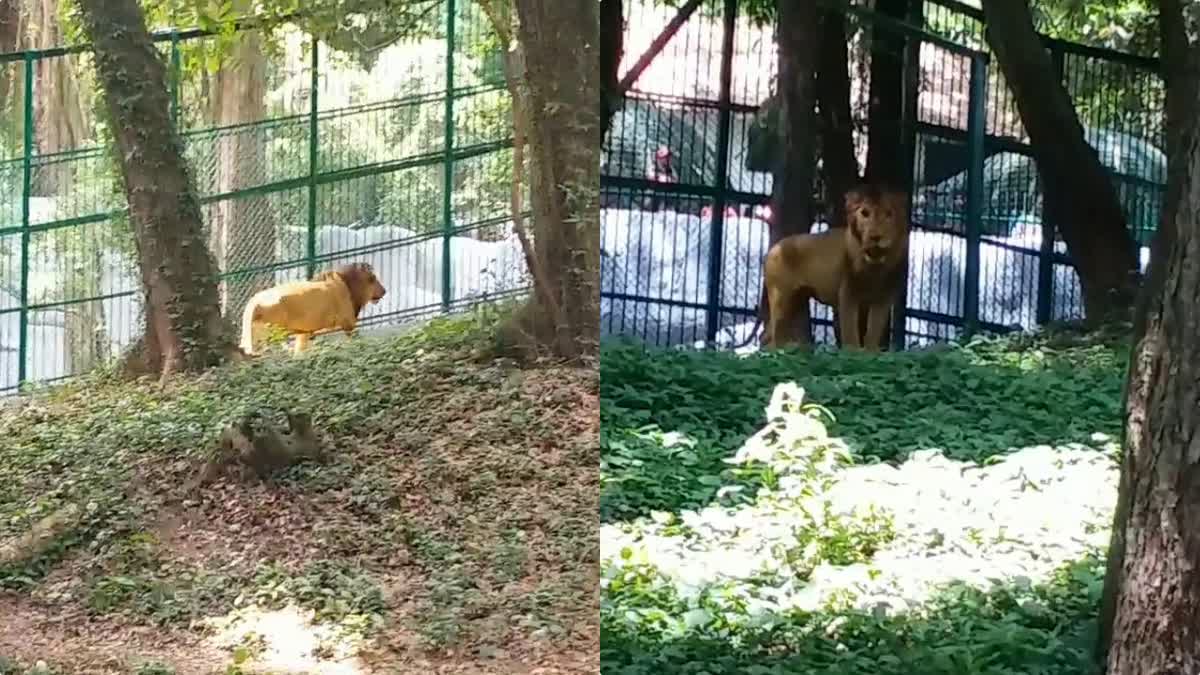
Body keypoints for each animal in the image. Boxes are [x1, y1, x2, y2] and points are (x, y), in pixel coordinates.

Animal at [234, 260, 384, 355]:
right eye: (373, 278)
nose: (385, 291)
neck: (349, 284)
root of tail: (254, 300)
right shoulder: (348, 323)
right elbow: (357, 340)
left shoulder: (304, 332)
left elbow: (300, 351)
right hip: (270, 333)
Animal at [758, 184, 907, 353]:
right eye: (864, 213)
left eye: (889, 214)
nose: (875, 236)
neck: (875, 268)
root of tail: (774, 248)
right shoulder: (848, 294)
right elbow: (850, 332)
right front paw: (852, 353)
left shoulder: (883, 299)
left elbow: (873, 331)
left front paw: (871, 353)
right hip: (781, 298)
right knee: (774, 335)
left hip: (797, 301)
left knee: (766, 336)